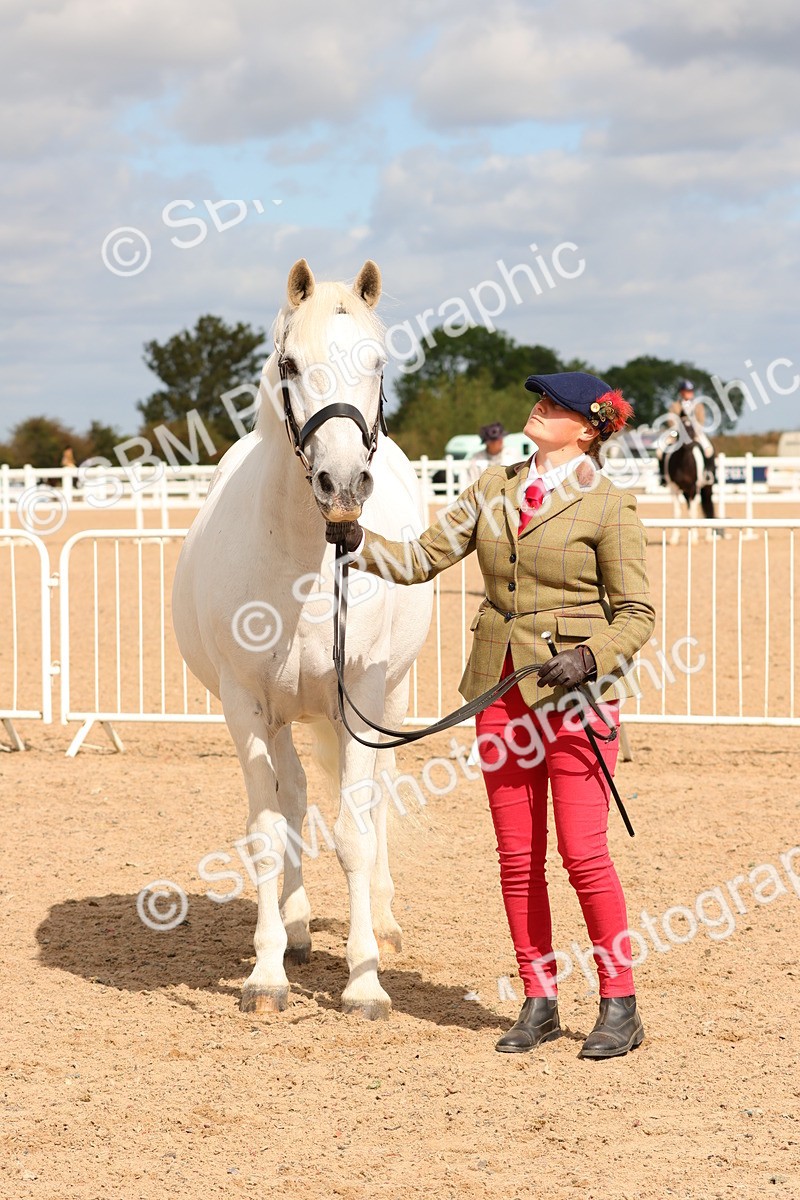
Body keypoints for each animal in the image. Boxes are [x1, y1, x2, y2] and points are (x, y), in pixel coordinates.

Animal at [172, 259, 433, 1019]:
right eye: (290, 364)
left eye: (379, 362)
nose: (342, 484)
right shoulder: (246, 707)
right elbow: (266, 832)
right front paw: (266, 974)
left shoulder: (362, 699)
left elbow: (353, 832)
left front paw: (366, 980)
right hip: (282, 718)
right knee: (289, 797)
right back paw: (292, 929)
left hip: (390, 700)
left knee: (377, 799)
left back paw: (384, 918)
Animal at [665, 414, 716, 544]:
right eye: (680, 428)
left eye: (692, 428)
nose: (688, 444)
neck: (683, 462)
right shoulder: (674, 489)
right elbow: (677, 512)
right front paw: (674, 538)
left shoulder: (694, 488)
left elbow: (693, 513)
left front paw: (693, 539)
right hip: (685, 492)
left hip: (706, 488)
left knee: (707, 508)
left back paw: (708, 536)